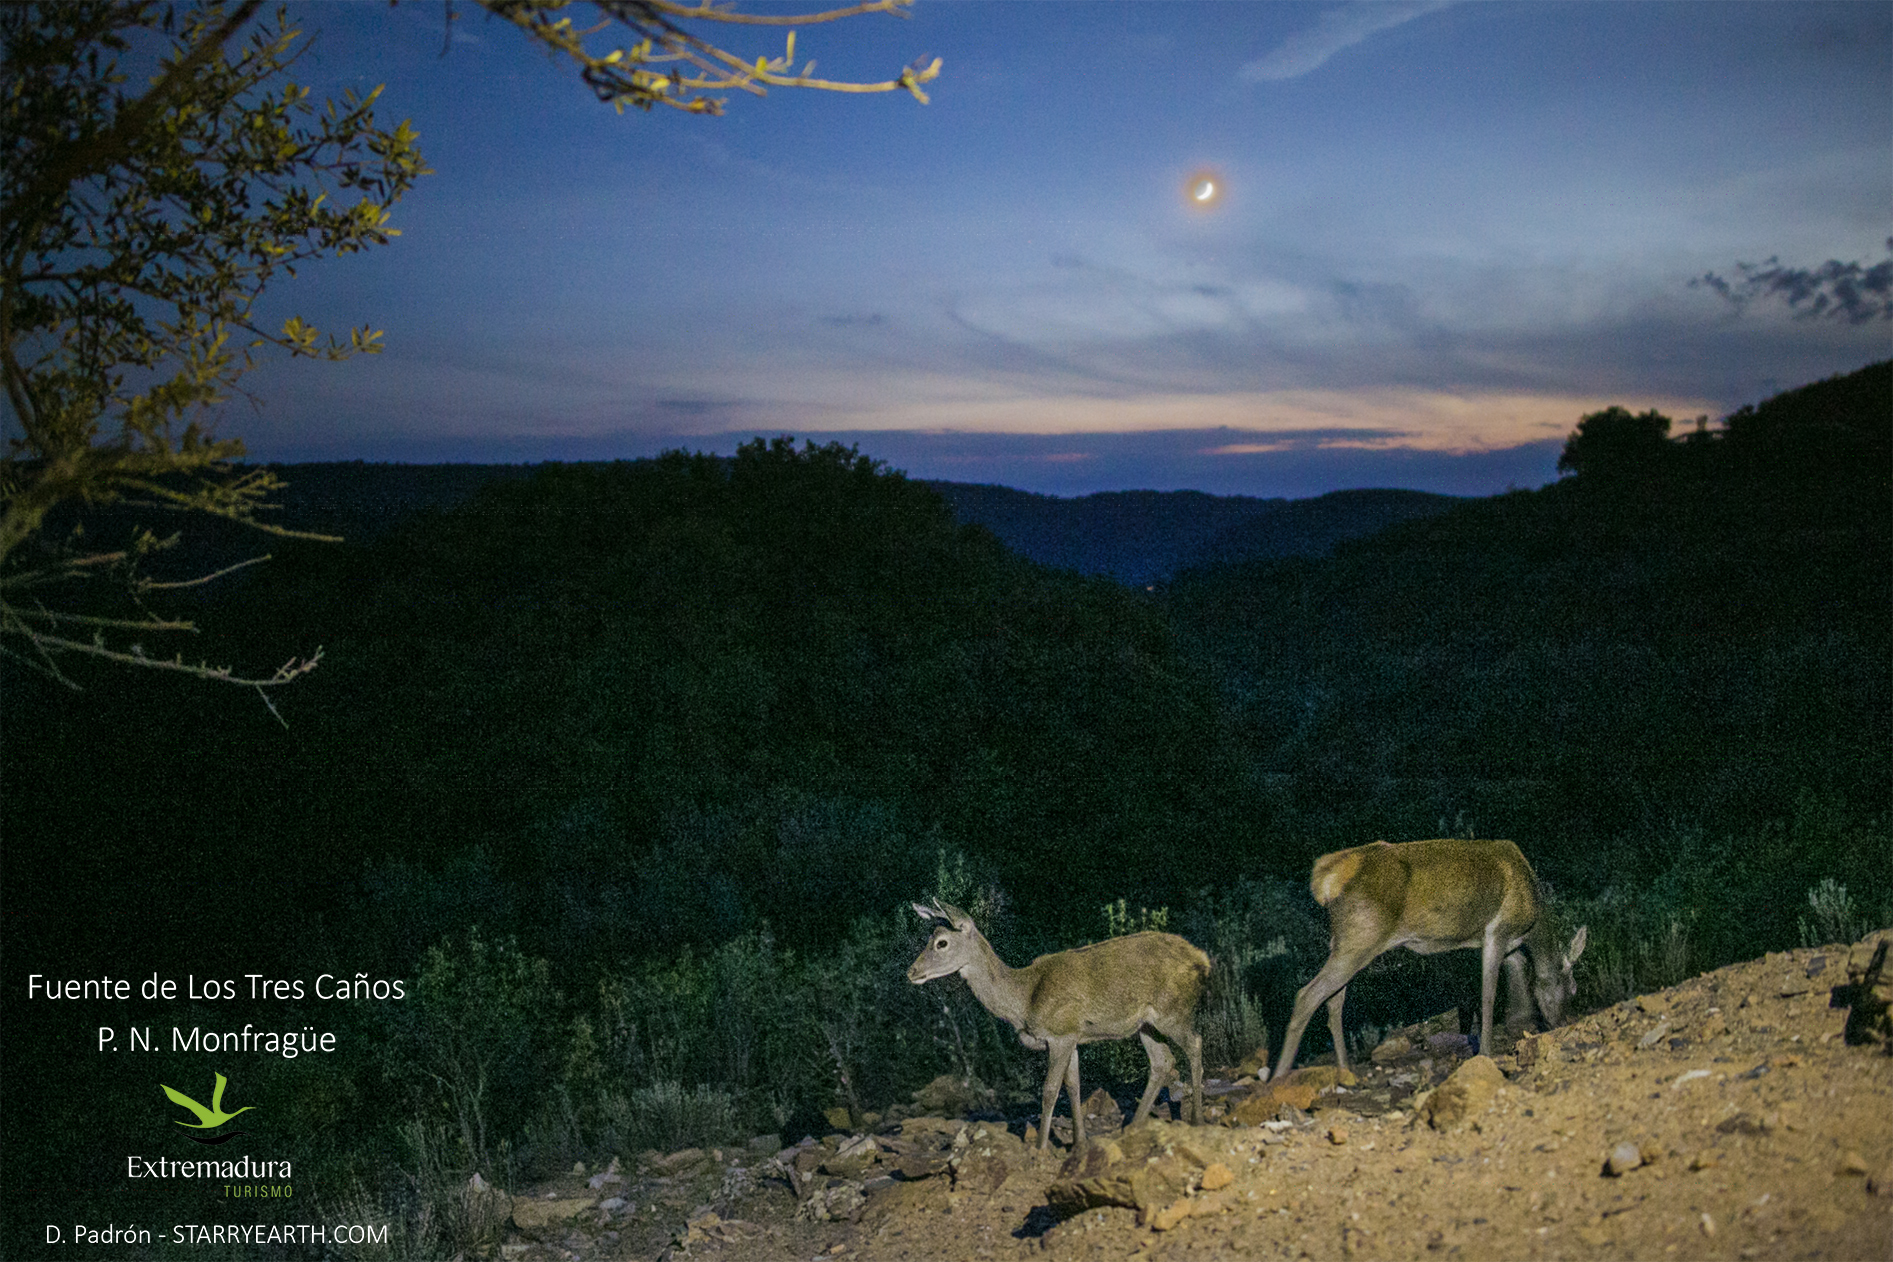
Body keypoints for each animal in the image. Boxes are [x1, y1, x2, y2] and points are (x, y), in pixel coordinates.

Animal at [904, 896, 1211, 1157]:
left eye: (941, 943)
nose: (911, 972)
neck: (1023, 1001)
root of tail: (1202, 959)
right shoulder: (1073, 1035)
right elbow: (1073, 1085)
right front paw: (1079, 1142)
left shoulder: (1060, 1032)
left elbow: (1050, 1089)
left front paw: (1040, 1147)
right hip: (1146, 1024)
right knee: (1163, 1061)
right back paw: (1134, 1125)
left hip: (1172, 1010)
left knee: (1195, 1044)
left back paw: (1196, 1120)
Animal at [1272, 832, 1582, 1082]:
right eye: (1573, 988)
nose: (1563, 1023)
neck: (1533, 923)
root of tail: (1325, 880)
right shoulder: (1497, 931)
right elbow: (1488, 995)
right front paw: (1486, 1052)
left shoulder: (1511, 946)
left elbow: (1514, 983)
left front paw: (1519, 1027)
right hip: (1361, 936)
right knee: (1307, 995)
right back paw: (1279, 1076)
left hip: (1343, 940)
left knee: (1334, 1000)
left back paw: (1346, 1070)